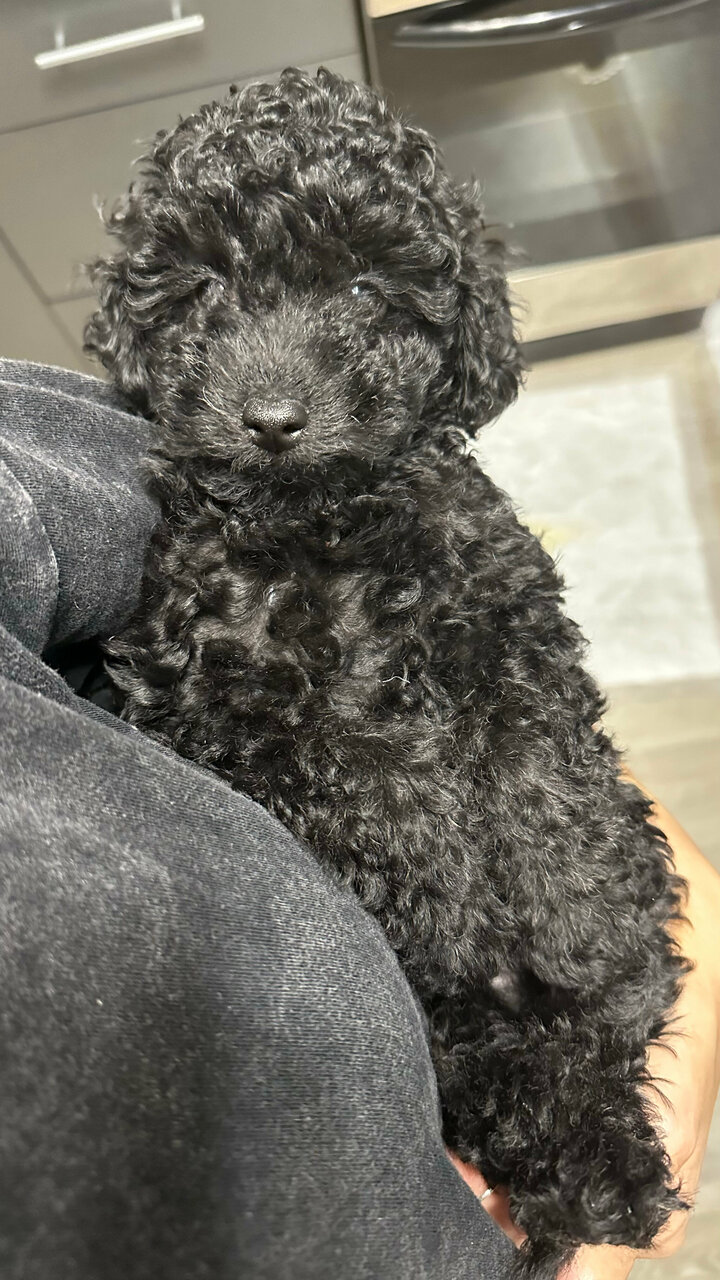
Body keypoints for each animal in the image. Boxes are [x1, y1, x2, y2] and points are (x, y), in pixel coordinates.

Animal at [85, 68, 687, 1278]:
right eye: (204, 286)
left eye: (366, 288)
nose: (272, 418)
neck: (322, 530)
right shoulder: (220, 699)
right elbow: (358, 769)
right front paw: (450, 884)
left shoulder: (507, 617)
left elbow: (543, 763)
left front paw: (583, 919)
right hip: (463, 1039)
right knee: (502, 1078)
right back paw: (598, 1174)